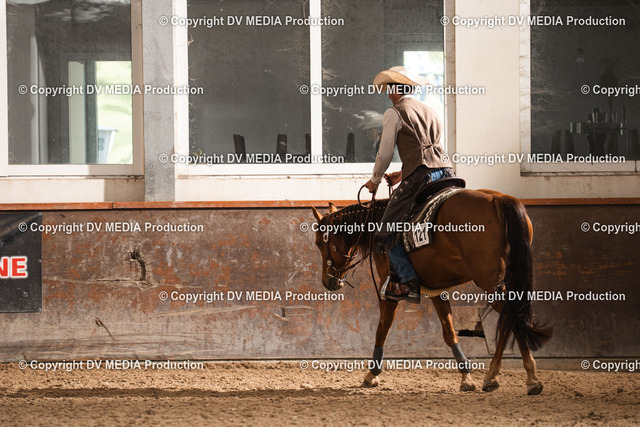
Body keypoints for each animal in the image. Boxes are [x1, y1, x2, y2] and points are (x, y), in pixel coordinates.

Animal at [311, 188, 552, 395]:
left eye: (320, 244)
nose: (328, 281)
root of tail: (498, 200)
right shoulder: (438, 290)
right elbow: (449, 331)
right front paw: (466, 377)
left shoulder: (388, 290)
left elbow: (382, 329)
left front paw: (372, 375)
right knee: (512, 316)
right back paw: (507, 377)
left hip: (489, 282)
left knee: (512, 315)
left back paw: (516, 377)